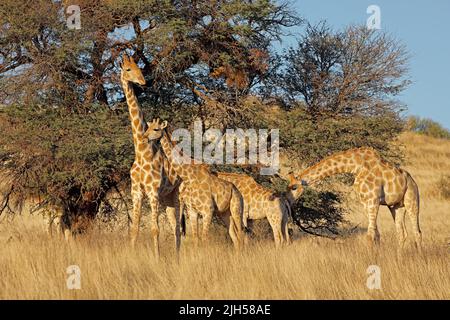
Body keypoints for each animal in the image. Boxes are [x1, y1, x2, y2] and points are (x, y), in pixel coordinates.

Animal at [121, 53, 183, 258]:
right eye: (128, 69)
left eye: (139, 67)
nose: (143, 82)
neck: (142, 152)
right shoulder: (136, 191)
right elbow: (135, 228)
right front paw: (131, 256)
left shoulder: (152, 191)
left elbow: (155, 229)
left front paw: (156, 259)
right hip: (166, 199)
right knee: (174, 226)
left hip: (177, 195)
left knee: (178, 228)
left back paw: (178, 257)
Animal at [142, 119, 244, 249]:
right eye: (148, 128)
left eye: (156, 129)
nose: (144, 138)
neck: (189, 178)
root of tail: (238, 192)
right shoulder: (192, 211)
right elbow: (196, 238)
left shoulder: (208, 210)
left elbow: (204, 238)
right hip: (225, 213)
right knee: (235, 237)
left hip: (237, 210)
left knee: (241, 234)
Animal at [288, 147, 422, 250]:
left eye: (294, 187)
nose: (288, 200)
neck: (356, 166)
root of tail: (413, 181)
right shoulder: (365, 203)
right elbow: (376, 235)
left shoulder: (373, 201)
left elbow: (370, 235)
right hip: (396, 206)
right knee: (402, 233)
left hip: (412, 200)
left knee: (418, 232)